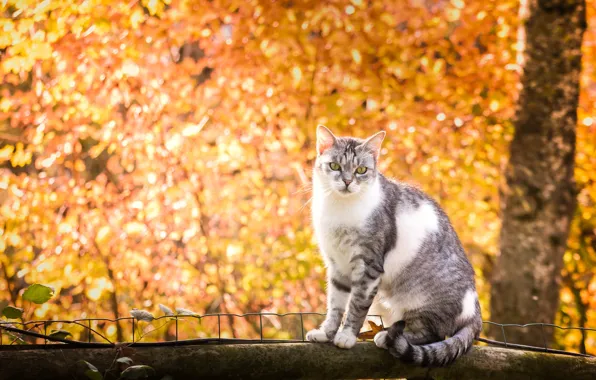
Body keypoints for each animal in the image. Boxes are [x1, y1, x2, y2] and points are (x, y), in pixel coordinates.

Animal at [304, 126, 482, 366]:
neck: (340, 209)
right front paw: (326, 333)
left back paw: (385, 336)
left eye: (361, 170)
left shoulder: (369, 265)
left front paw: (347, 336)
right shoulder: (336, 266)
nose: (348, 181)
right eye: (335, 166)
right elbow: (335, 306)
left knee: (431, 334)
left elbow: (356, 306)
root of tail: (475, 309)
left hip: (420, 302)